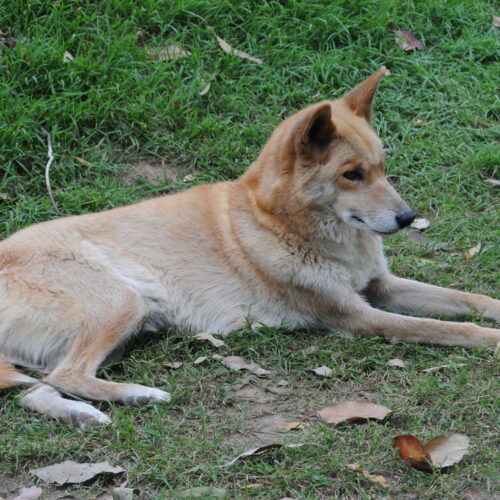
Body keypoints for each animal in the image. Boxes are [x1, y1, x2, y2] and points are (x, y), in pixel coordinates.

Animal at [0, 67, 498, 426]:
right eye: (352, 174)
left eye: (381, 167)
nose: (408, 218)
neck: (277, 221)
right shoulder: (359, 316)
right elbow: (457, 329)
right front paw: (491, 339)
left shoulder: (381, 286)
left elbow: (471, 300)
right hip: (123, 303)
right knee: (66, 375)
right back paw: (138, 394)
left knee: (36, 390)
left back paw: (82, 414)